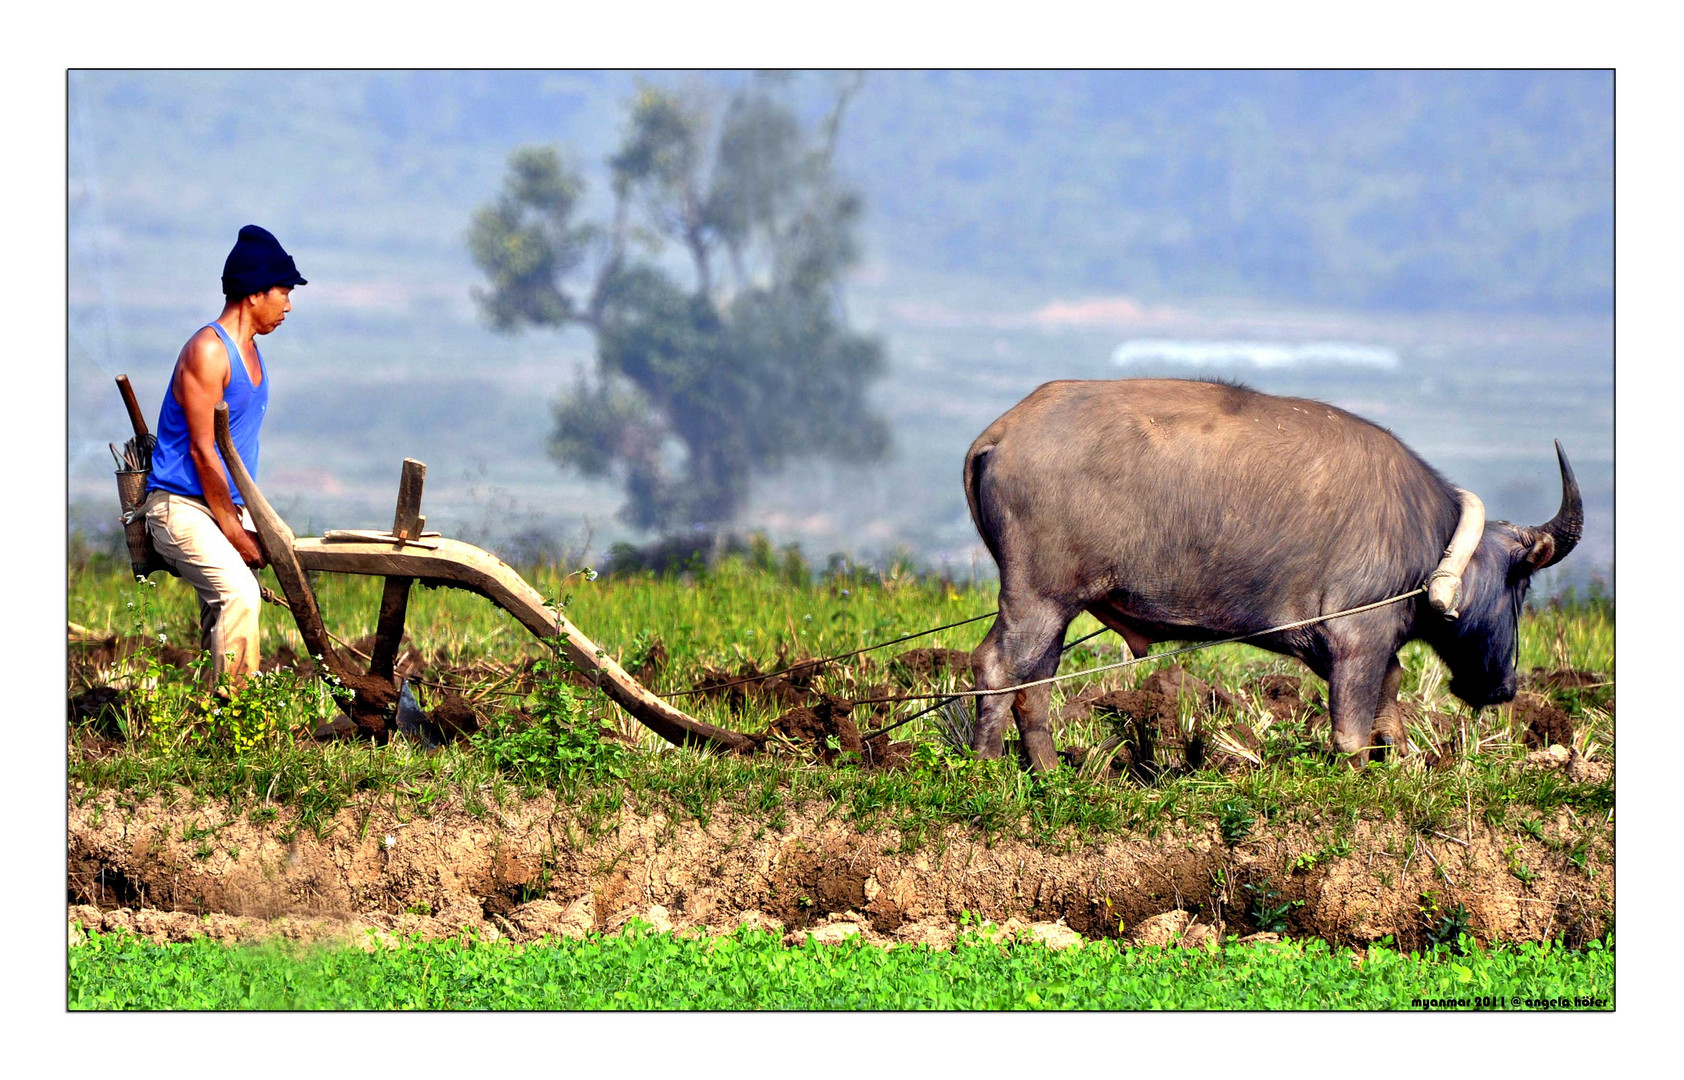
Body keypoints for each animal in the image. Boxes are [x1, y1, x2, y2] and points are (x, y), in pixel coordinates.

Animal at [963, 377, 1576, 768]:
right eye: (1521, 582)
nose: (1504, 686)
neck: (1429, 537)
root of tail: (1000, 433)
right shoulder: (1358, 639)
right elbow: (1351, 735)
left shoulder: (1363, 648)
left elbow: (1391, 695)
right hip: (1037, 596)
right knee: (997, 667)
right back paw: (986, 768)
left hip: (1054, 607)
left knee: (1034, 683)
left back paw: (1048, 772)